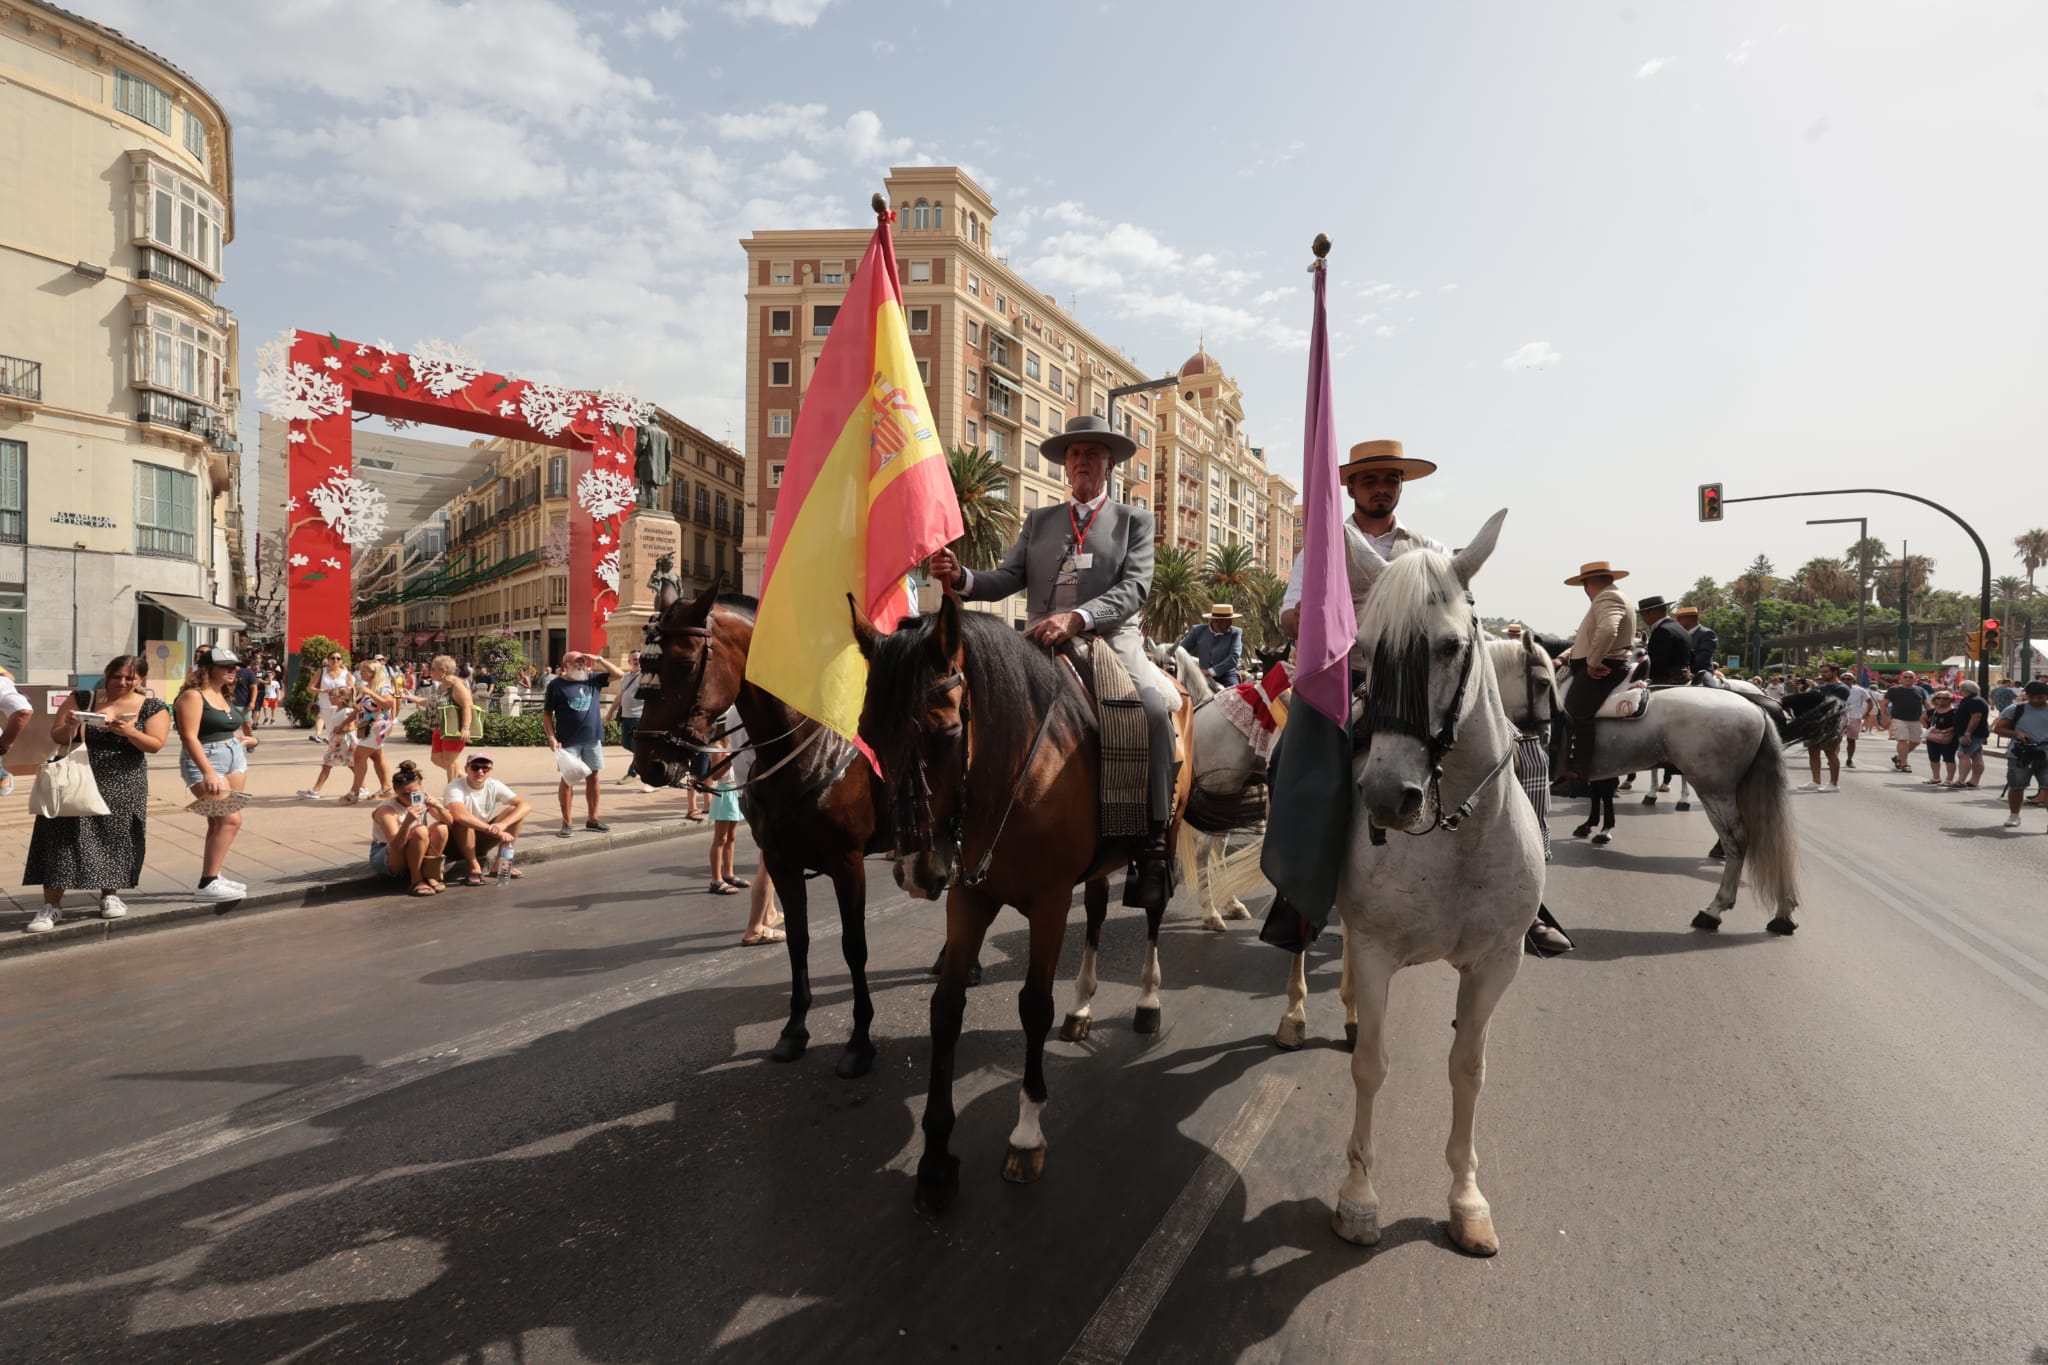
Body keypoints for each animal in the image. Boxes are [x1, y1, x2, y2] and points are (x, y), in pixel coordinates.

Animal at [630, 581, 888, 1072]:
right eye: (644, 665)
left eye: (685, 664)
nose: (649, 764)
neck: (802, 749)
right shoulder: (782, 862)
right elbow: (799, 941)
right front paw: (794, 1030)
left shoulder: (849, 864)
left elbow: (855, 945)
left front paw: (860, 1038)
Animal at [851, 597, 1196, 1219]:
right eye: (867, 733)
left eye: (946, 732)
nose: (914, 871)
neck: (1019, 765)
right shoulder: (969, 897)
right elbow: (945, 1009)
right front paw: (935, 1161)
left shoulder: (1050, 903)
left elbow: (1033, 1006)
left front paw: (1027, 1134)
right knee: (1099, 913)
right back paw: (1082, 1008)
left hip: (1167, 832)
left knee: (1154, 915)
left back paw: (1147, 1001)